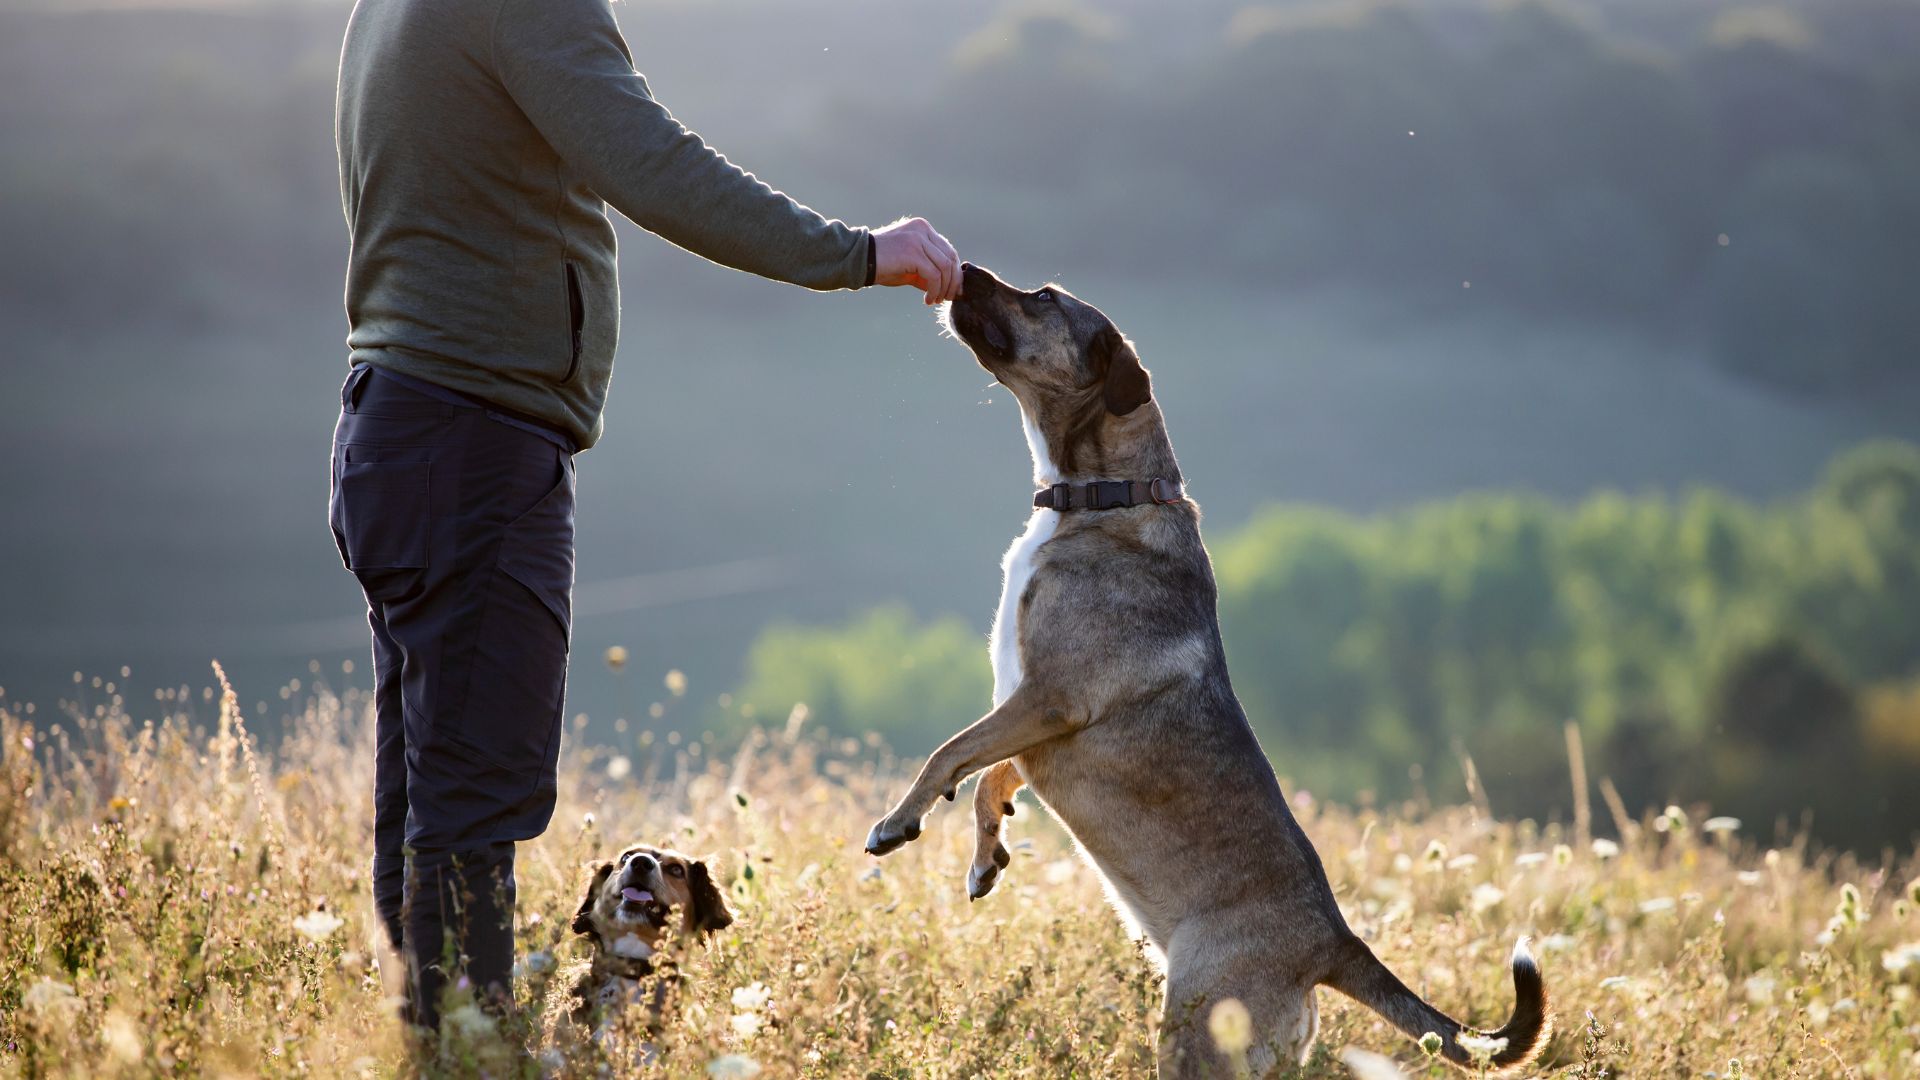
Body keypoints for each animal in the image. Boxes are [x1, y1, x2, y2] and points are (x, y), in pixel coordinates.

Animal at [864, 265, 1551, 1068]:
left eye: (1043, 299)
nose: (963, 269)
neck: (1106, 496)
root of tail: (1333, 943)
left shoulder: (1049, 699)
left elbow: (951, 753)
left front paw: (897, 823)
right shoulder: (1026, 709)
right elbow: (987, 774)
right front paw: (986, 854)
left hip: (1192, 1031)